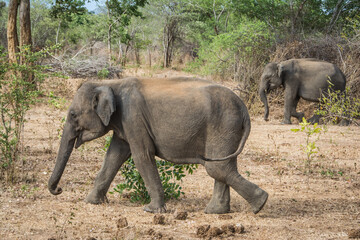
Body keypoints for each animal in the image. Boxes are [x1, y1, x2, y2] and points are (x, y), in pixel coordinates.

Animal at [47, 76, 268, 214]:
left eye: (72, 115)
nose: (59, 190)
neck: (109, 83)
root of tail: (243, 107)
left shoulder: (133, 117)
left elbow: (141, 156)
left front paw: (151, 210)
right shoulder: (124, 124)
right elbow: (115, 156)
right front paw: (91, 201)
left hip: (223, 125)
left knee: (217, 168)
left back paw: (260, 204)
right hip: (228, 128)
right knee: (222, 167)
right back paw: (218, 211)